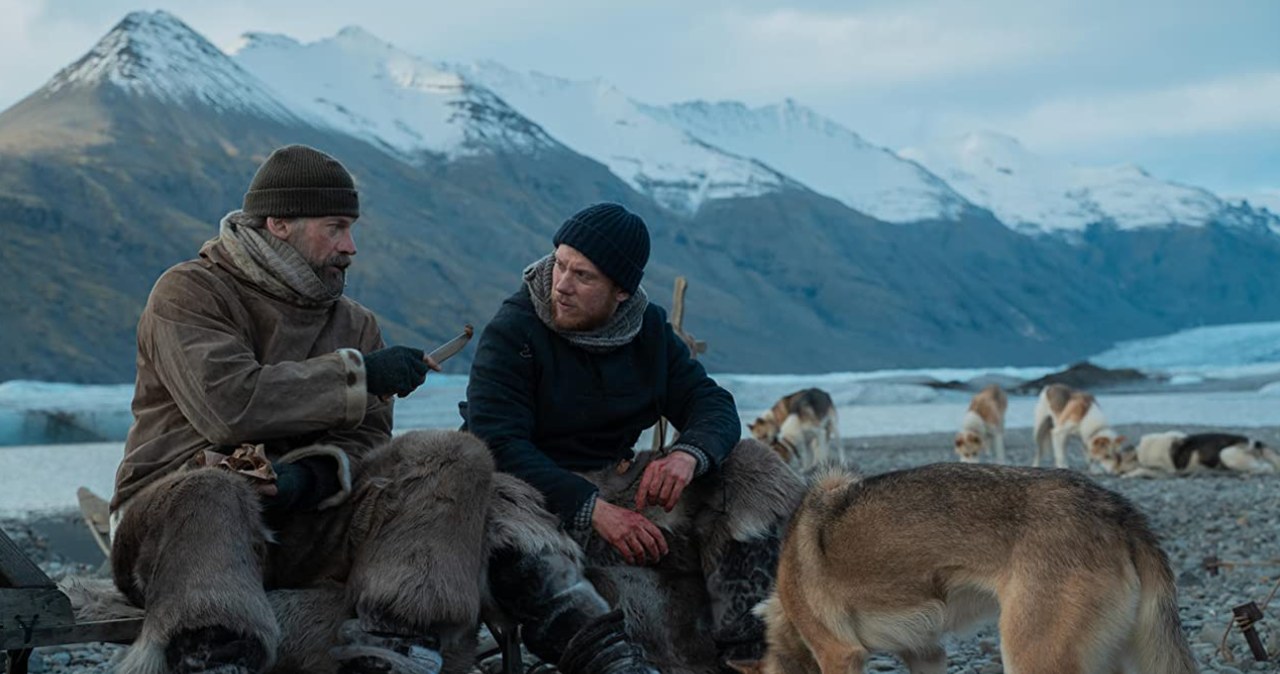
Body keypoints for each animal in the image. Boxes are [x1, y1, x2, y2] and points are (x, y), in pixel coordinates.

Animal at [1100, 432, 1280, 480]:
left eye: (1115, 458)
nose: (1110, 473)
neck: (1138, 453)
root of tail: (1255, 442)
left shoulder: (1165, 473)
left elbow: (1141, 470)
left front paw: (1128, 475)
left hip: (1226, 453)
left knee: (1267, 468)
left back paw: (1247, 474)